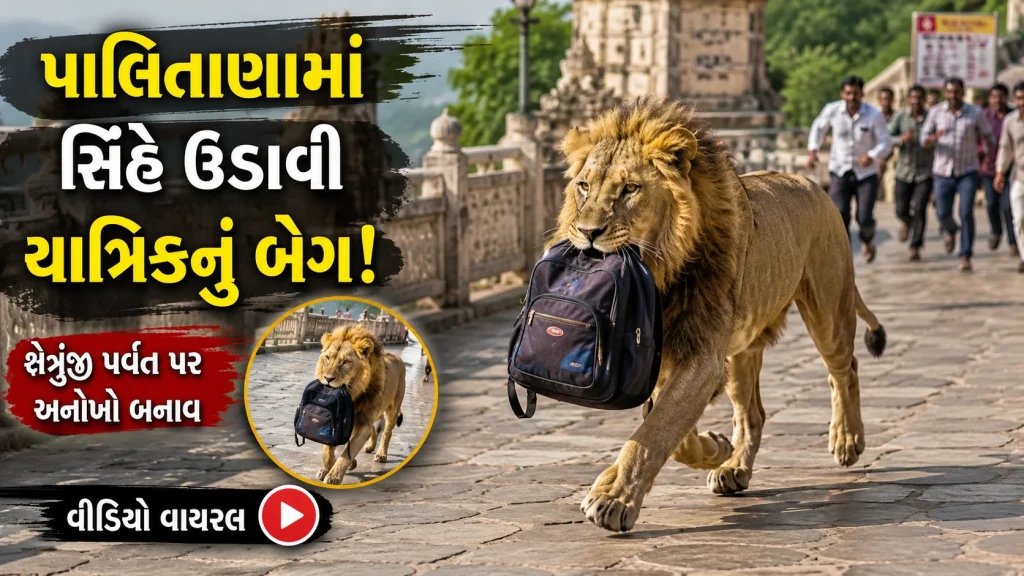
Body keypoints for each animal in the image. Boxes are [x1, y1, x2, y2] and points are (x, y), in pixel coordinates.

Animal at [312, 324, 406, 485]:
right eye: (327, 357)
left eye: (346, 362)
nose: (328, 378)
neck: (351, 395)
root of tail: (397, 357)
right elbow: (327, 449)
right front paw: (327, 469)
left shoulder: (362, 423)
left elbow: (347, 453)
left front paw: (334, 476)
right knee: (374, 429)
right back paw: (370, 446)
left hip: (393, 410)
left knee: (386, 432)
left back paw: (381, 454)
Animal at [552, 96, 887, 532]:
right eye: (584, 186)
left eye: (629, 189)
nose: (587, 232)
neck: (661, 276)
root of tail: (811, 183)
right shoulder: (671, 359)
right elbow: (667, 429)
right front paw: (715, 448)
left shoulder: (703, 355)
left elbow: (657, 430)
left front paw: (614, 499)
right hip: (743, 351)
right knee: (753, 414)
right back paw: (735, 468)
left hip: (829, 310)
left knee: (845, 370)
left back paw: (847, 440)